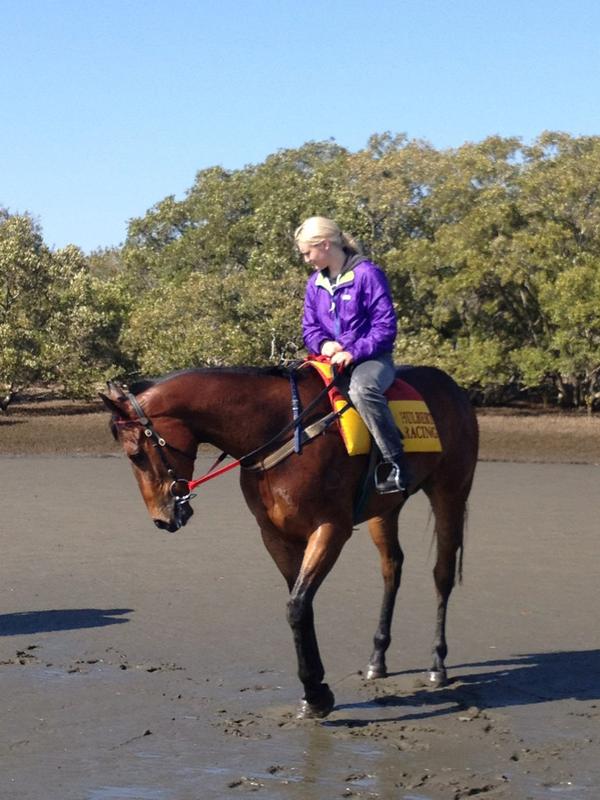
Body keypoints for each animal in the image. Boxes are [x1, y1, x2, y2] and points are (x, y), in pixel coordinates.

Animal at [100, 363, 479, 719]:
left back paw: (437, 663)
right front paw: (314, 690)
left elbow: (297, 606)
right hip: (384, 510)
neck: (283, 432)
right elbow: (301, 605)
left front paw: (315, 692)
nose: (162, 519)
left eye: (136, 455)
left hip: (450, 491)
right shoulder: (276, 535)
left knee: (442, 572)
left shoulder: (330, 529)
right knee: (392, 568)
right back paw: (378, 657)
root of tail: (451, 386)